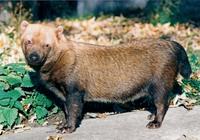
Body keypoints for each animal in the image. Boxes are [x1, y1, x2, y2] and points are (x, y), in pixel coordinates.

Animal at [20, 20, 192, 133]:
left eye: (47, 45)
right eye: (28, 41)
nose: (34, 56)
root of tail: (171, 44)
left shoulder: (74, 91)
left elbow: (74, 111)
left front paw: (68, 128)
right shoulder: (63, 95)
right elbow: (67, 111)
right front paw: (63, 125)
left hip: (160, 84)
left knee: (162, 103)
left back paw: (155, 122)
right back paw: (151, 115)